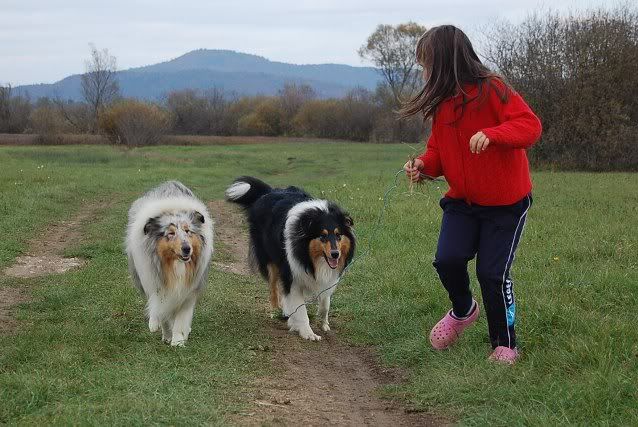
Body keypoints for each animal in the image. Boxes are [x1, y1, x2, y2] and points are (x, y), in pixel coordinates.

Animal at [126, 181, 213, 346]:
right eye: (171, 233)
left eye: (187, 231)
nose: (187, 249)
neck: (175, 267)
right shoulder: (159, 287)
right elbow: (162, 313)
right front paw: (167, 335)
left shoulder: (188, 290)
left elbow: (181, 318)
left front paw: (178, 340)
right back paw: (154, 324)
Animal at [226, 176, 355, 341]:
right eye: (322, 236)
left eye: (338, 235)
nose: (335, 254)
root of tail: (268, 192)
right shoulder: (292, 275)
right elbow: (300, 308)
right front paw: (308, 333)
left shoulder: (325, 277)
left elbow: (325, 301)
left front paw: (324, 323)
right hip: (271, 260)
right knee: (273, 287)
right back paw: (278, 310)